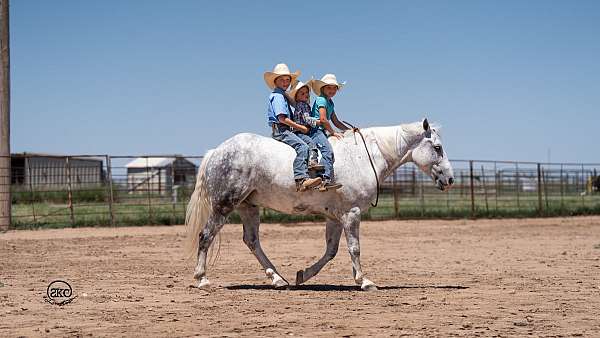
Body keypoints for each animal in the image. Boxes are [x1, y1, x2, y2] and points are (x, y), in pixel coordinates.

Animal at [185, 119, 452, 290]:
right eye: (437, 148)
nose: (449, 179)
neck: (363, 157)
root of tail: (217, 151)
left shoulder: (335, 217)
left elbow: (331, 251)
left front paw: (303, 275)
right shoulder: (352, 213)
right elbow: (354, 248)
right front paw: (364, 282)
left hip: (248, 207)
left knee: (252, 241)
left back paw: (278, 279)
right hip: (223, 206)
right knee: (205, 236)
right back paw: (203, 279)